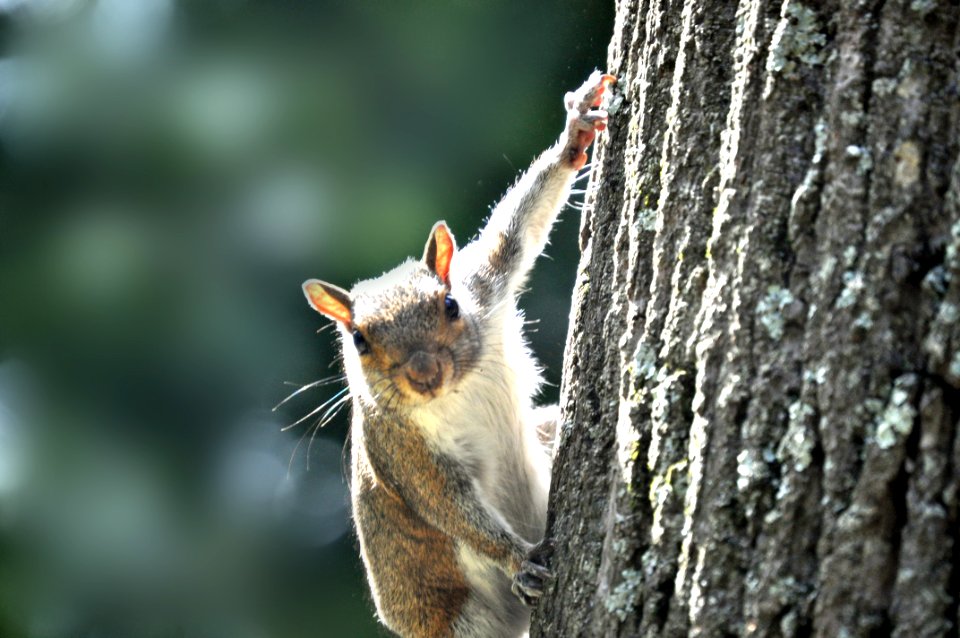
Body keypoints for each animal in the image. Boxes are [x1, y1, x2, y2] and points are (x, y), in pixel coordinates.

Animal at [300, 72, 616, 636]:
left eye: (449, 305)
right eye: (359, 340)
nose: (425, 373)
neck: (456, 391)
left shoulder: (484, 285)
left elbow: (515, 233)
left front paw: (574, 133)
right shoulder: (402, 451)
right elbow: (451, 508)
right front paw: (521, 561)